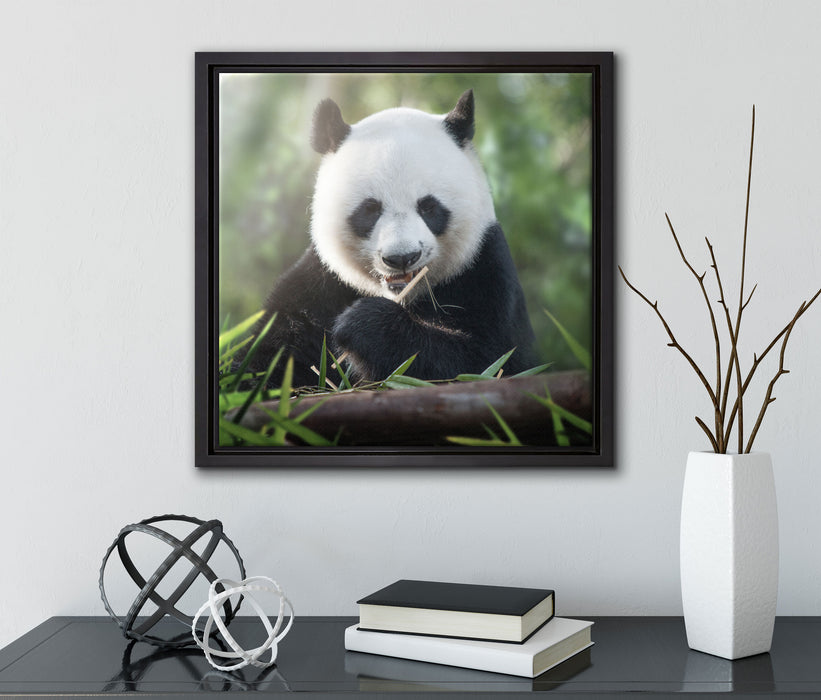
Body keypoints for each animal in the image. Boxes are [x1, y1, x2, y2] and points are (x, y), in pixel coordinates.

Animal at [240, 90, 539, 388]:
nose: (402, 258)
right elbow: (270, 353)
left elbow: (487, 361)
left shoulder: (483, 271)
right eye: (370, 209)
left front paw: (364, 324)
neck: (401, 296)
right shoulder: (322, 285)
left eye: (428, 207)